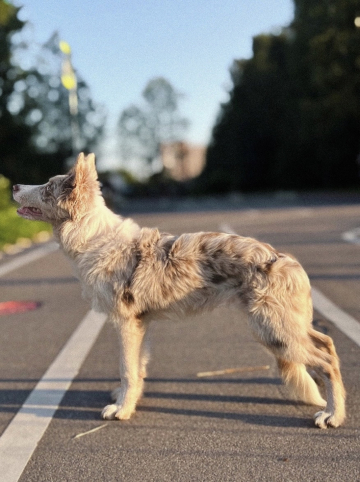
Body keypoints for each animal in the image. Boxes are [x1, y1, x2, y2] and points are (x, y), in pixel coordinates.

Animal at [13, 153, 346, 428]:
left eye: (47, 187)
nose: (14, 184)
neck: (93, 237)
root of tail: (287, 261)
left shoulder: (125, 322)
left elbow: (126, 368)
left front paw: (121, 410)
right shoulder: (140, 323)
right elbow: (138, 367)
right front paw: (128, 400)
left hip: (274, 331)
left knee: (327, 362)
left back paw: (333, 415)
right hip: (286, 327)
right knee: (328, 344)